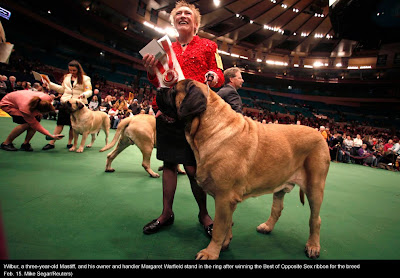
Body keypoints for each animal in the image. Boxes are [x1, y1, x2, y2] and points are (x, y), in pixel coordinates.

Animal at [157, 79, 332, 260]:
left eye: (173, 90)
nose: (158, 89)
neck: (210, 127)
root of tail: (319, 134)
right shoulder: (228, 201)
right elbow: (227, 224)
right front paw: (225, 244)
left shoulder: (224, 198)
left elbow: (219, 228)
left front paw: (210, 252)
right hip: (281, 183)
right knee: (277, 208)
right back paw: (267, 226)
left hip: (315, 187)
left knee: (315, 219)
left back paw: (313, 246)